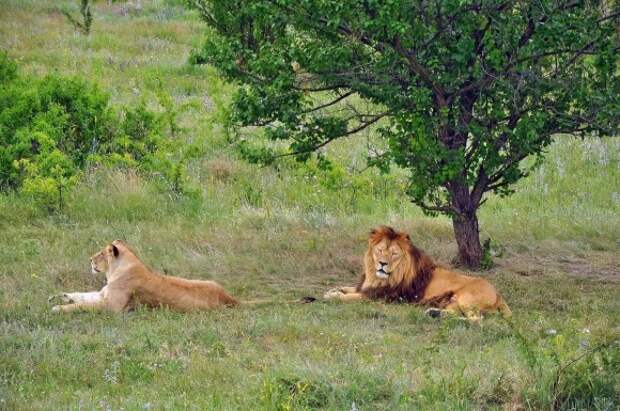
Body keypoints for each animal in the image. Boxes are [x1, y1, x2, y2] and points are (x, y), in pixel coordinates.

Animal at [51, 240, 237, 314]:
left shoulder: (112, 306)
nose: (90, 259)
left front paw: (58, 308)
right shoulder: (102, 294)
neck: (114, 271)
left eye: (102, 254)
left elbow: (83, 305)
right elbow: (82, 296)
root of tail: (227, 296)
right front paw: (60, 296)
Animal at [322, 227, 512, 320]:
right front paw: (333, 290)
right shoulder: (366, 287)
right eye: (380, 250)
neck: (378, 277)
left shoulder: (378, 296)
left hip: (466, 299)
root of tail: (498, 294)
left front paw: (334, 296)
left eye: (394, 254)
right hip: (453, 301)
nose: (382, 264)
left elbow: (349, 297)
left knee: (477, 321)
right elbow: (349, 288)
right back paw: (434, 314)